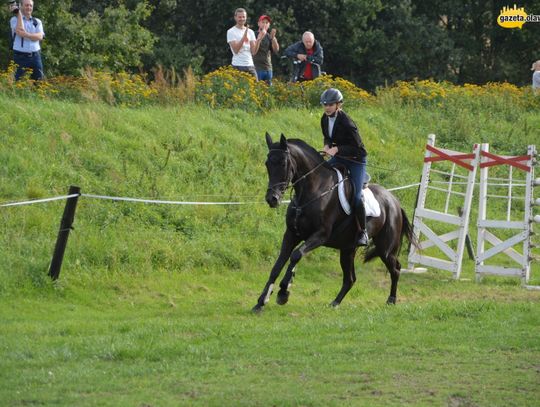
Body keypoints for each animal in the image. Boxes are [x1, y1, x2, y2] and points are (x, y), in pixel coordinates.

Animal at [253, 134, 418, 312]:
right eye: (267, 164)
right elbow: (278, 265)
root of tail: (395, 202)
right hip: (348, 249)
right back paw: (335, 303)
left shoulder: (320, 235)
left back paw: (391, 300)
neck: (312, 190)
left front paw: (284, 291)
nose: (272, 199)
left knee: (396, 269)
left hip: (385, 249)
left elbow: (296, 255)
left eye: (283, 163)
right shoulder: (291, 234)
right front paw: (261, 301)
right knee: (350, 279)